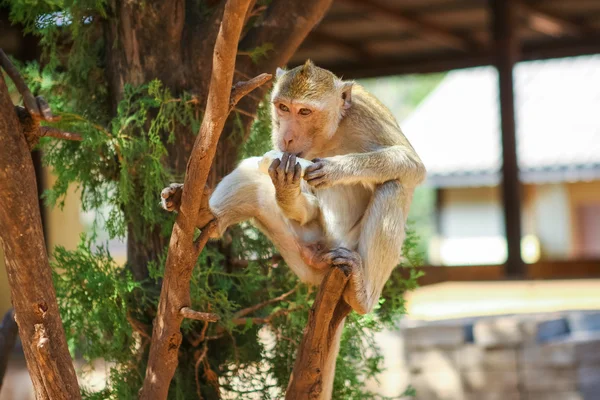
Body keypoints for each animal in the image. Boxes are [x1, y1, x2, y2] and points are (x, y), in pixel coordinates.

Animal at [159, 61, 426, 398]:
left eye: (305, 112)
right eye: (283, 108)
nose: (285, 138)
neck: (329, 135)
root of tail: (323, 257)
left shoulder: (366, 114)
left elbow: (411, 165)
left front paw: (334, 169)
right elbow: (288, 188)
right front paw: (286, 187)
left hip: (347, 247)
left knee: (394, 186)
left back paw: (362, 295)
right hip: (299, 250)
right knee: (253, 170)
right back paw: (206, 215)